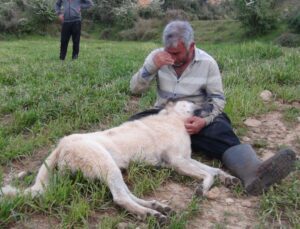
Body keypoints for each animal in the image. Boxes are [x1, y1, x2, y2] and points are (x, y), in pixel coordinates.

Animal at [0, 101, 239, 223]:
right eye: (193, 101)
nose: (211, 100)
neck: (174, 119)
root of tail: (61, 144)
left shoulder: (186, 159)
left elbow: (213, 169)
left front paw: (228, 178)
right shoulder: (178, 162)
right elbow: (208, 173)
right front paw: (203, 188)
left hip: (113, 170)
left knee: (126, 194)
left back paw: (156, 206)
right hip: (108, 165)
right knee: (120, 198)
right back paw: (151, 214)